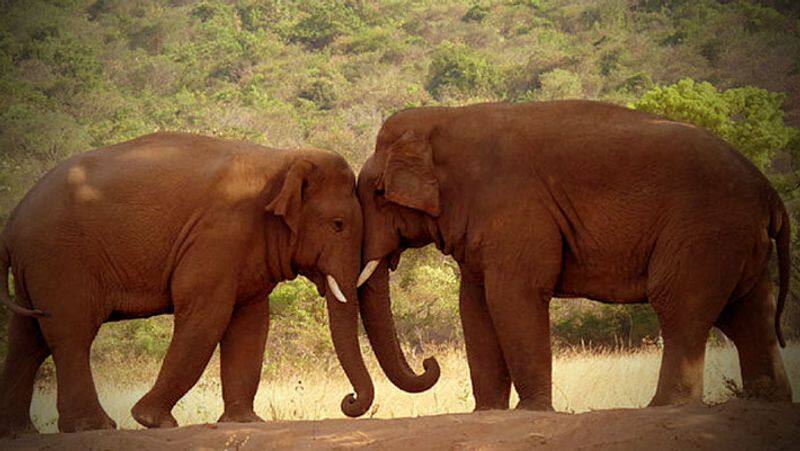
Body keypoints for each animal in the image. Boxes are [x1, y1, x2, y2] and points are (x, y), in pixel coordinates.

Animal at [0, 132, 376, 436]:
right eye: (338, 224)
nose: (349, 400)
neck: (283, 158)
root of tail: (13, 222)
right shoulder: (219, 233)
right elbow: (206, 316)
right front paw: (152, 421)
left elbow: (251, 324)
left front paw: (245, 422)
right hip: (59, 257)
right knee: (70, 333)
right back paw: (93, 427)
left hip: (38, 266)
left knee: (28, 338)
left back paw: (20, 432)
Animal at [356, 100, 792, 412]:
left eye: (377, 193)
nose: (430, 363)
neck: (445, 117)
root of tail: (769, 192)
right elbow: (474, 305)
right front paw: (488, 413)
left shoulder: (515, 206)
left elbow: (513, 296)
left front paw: (531, 412)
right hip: (736, 240)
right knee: (750, 314)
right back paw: (766, 401)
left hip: (705, 232)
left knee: (680, 305)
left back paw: (666, 407)